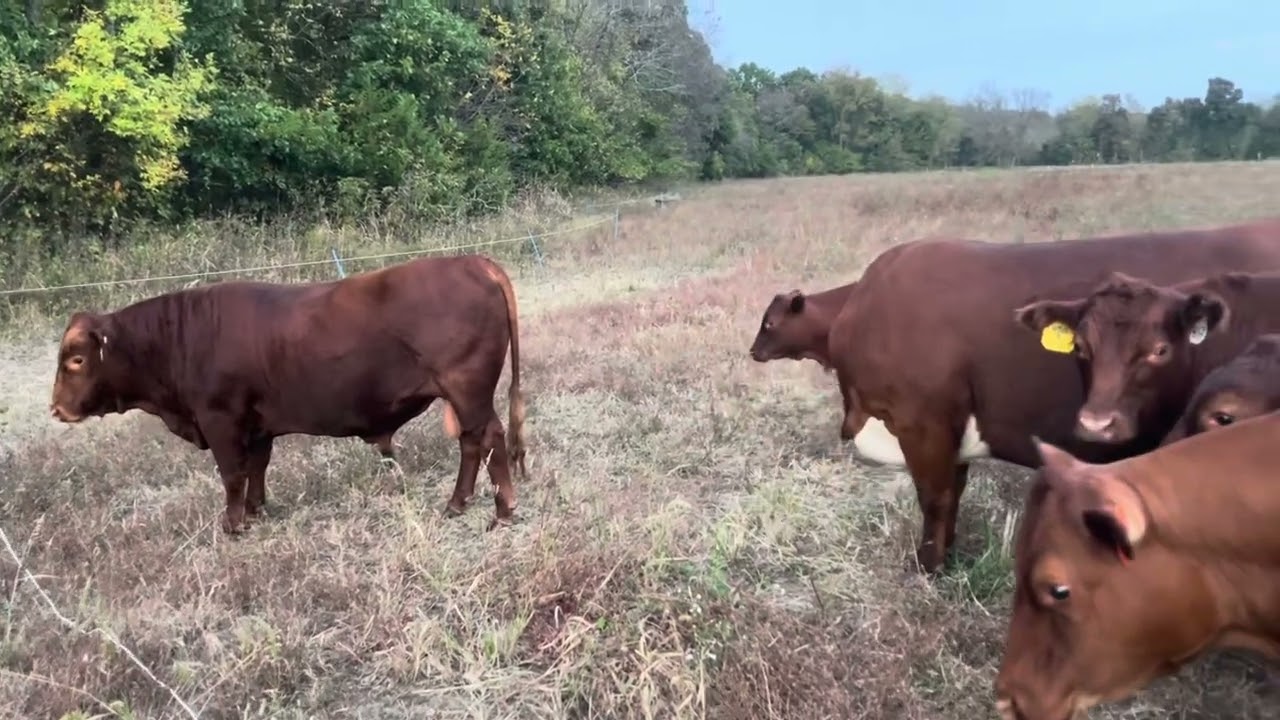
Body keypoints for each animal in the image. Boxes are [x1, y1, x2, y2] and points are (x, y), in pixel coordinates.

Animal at [48, 254, 529, 534]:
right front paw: (256, 511)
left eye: (76, 359)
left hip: (467, 388)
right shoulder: (258, 425)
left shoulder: (220, 419)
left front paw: (233, 525)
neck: (182, 336)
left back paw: (502, 512)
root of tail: (473, 261)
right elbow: (256, 469)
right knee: (472, 443)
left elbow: (232, 473)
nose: (55, 409)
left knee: (489, 439)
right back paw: (457, 505)